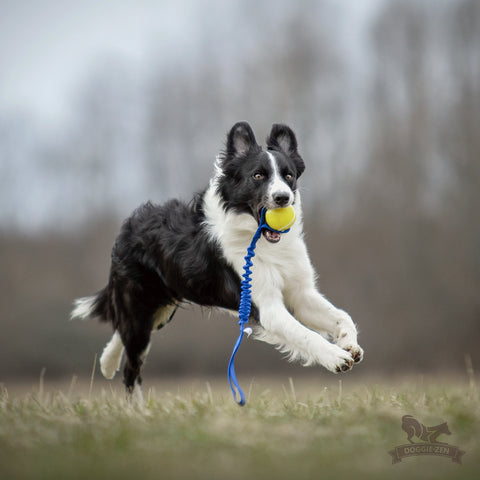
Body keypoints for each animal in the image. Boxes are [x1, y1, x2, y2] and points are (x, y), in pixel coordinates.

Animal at [71, 122, 364, 396]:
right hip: (139, 309)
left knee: (121, 333)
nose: (283, 197)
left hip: (161, 308)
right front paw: (335, 357)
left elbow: (342, 315)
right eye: (258, 175)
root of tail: (127, 227)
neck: (260, 239)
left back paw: (107, 362)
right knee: (131, 369)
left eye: (288, 175)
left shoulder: (300, 293)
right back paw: (136, 407)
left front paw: (350, 344)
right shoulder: (267, 306)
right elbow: (303, 333)